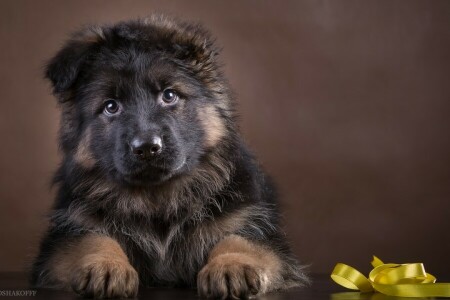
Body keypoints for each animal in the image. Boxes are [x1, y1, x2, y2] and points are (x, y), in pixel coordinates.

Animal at [29, 15, 308, 298]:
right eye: (110, 106)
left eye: (169, 95)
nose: (147, 148)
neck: (158, 201)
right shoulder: (65, 239)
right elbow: (93, 239)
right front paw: (104, 265)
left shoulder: (257, 230)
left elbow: (238, 239)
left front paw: (232, 266)